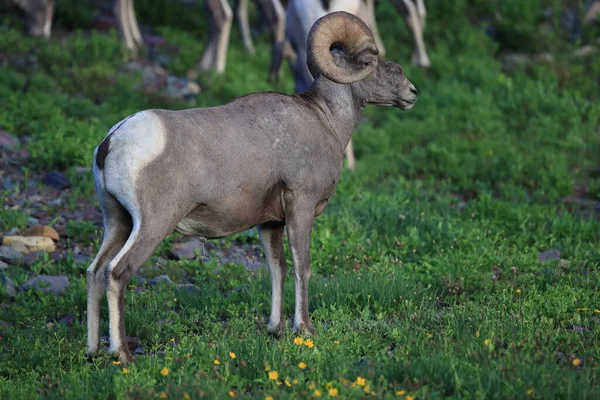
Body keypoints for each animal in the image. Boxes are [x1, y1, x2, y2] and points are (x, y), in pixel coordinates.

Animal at [86, 10, 418, 364]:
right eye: (370, 60)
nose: (412, 92)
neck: (325, 120)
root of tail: (113, 141)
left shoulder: (270, 223)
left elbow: (277, 268)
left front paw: (276, 329)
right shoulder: (301, 207)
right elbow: (302, 266)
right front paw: (305, 329)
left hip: (117, 222)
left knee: (95, 271)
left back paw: (93, 351)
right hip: (152, 225)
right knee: (117, 273)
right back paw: (122, 355)